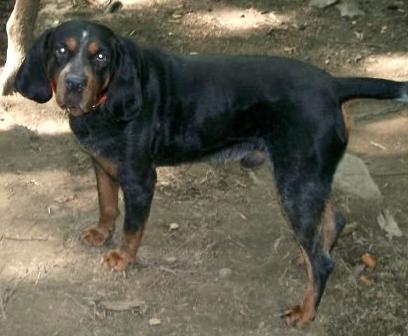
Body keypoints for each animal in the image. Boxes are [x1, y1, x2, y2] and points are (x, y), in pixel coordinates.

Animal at [14, 20, 406, 326]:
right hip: (308, 178)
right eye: (61, 51)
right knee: (333, 219)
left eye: (100, 56)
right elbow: (107, 206)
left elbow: (131, 228)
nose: (74, 83)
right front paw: (100, 233)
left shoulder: (140, 180)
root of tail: (333, 85)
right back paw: (307, 253)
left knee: (324, 263)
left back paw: (306, 310)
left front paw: (122, 258)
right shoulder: (102, 164)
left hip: (295, 182)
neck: (105, 103)